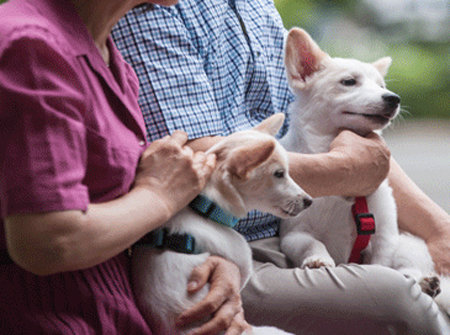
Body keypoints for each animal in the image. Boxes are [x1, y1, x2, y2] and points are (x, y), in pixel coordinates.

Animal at [280, 28, 448, 318]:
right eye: (349, 82)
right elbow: (311, 243)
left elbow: (380, 264)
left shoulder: (384, 238)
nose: (393, 98)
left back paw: (424, 282)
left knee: (408, 269)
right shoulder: (293, 235)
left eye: (381, 86)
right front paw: (317, 259)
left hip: (408, 245)